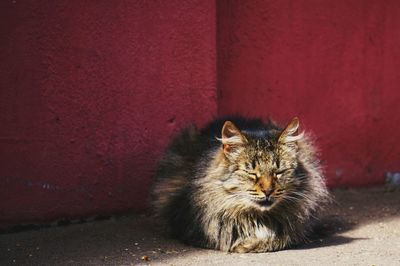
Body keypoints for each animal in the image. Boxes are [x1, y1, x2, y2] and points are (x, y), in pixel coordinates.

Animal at [152, 117, 330, 254]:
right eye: (251, 172)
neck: (258, 217)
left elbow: (283, 237)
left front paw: (252, 243)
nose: (268, 191)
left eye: (279, 172)